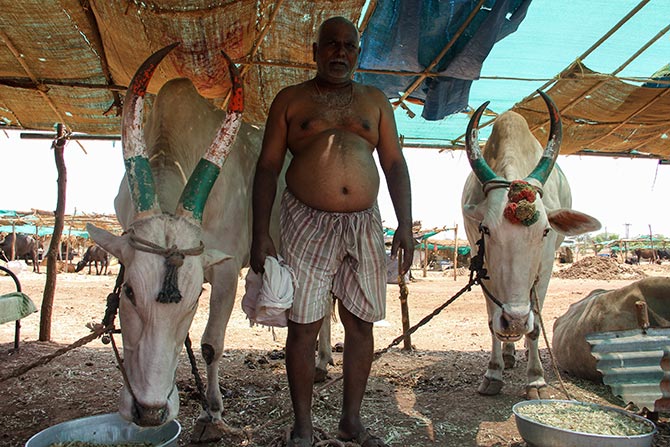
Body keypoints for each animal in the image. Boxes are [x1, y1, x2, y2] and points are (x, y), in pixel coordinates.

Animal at [86, 44, 286, 440]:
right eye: (128, 292)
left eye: (196, 299)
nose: (150, 412)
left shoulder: (225, 270)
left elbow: (210, 344)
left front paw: (213, 412)